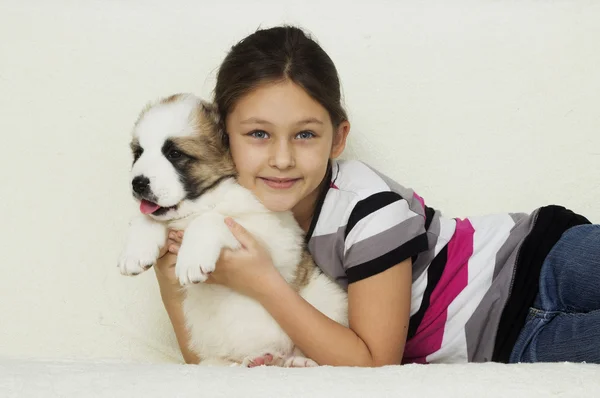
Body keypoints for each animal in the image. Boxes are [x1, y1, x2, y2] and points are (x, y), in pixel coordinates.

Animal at [118, 93, 350, 366]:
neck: (208, 200)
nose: (138, 183)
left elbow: (211, 220)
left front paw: (191, 260)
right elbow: (146, 218)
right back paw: (261, 360)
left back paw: (299, 362)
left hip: (327, 296)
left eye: (174, 154)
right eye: (138, 152)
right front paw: (134, 252)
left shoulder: (274, 236)